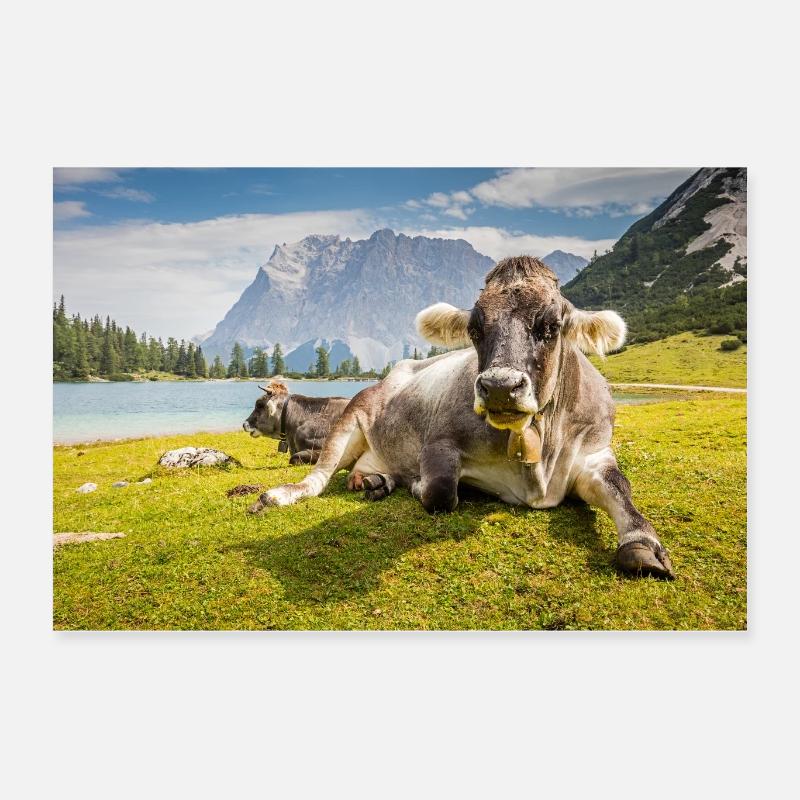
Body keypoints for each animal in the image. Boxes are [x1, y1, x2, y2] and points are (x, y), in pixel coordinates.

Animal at [249, 257, 674, 579]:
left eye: (551, 326)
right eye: (474, 328)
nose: (501, 386)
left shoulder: (595, 452)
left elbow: (621, 489)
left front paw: (642, 544)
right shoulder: (439, 444)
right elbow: (439, 493)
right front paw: (418, 485)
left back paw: (375, 481)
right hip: (353, 416)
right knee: (317, 478)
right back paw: (280, 495)